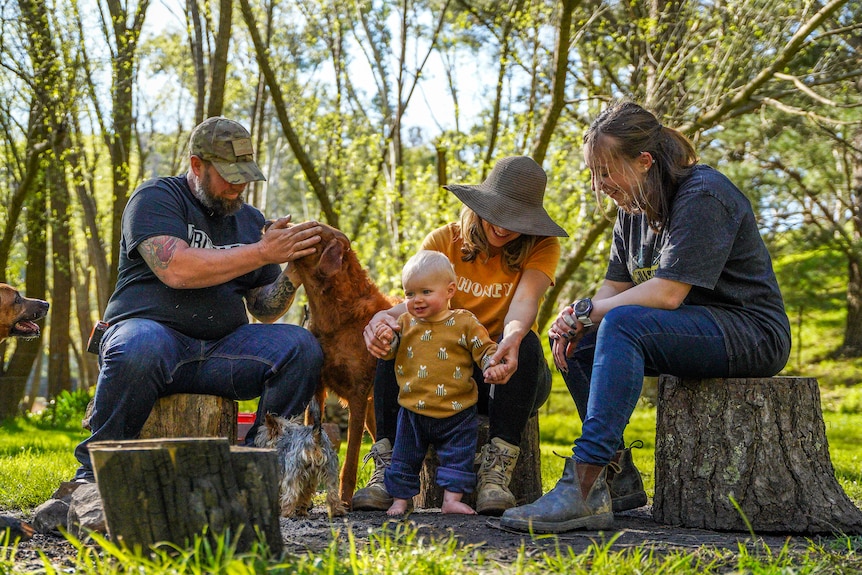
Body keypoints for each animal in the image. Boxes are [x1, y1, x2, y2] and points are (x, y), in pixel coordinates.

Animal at [288, 225, 400, 508]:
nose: (271, 223)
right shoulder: (317, 389)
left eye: (310, 226)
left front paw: (345, 500)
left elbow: (350, 461)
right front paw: (304, 498)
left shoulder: (357, 396)